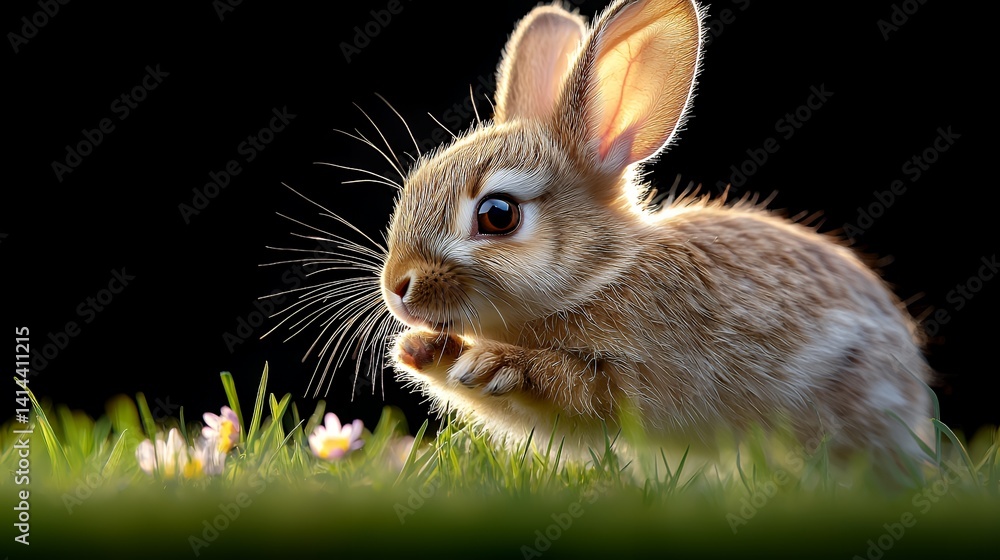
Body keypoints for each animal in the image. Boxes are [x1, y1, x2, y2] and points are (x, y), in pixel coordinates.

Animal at [377, 0, 934, 462]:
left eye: (498, 215)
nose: (397, 287)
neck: (600, 276)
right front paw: (423, 351)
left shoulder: (632, 375)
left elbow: (571, 389)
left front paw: (493, 364)